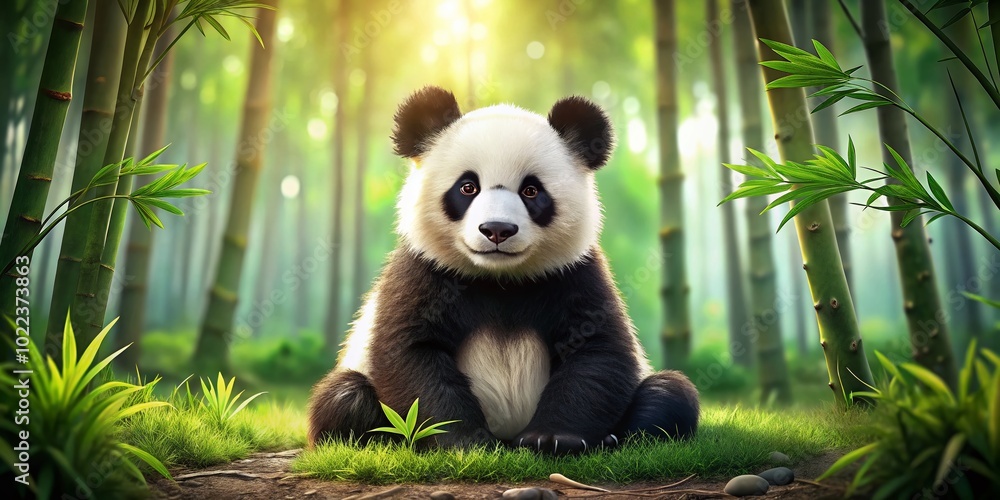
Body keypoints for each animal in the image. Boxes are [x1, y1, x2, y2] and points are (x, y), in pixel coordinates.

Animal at [307, 86, 699, 455]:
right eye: (468, 187)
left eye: (531, 190)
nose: (497, 229)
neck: (499, 278)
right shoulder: (423, 271)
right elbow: (410, 353)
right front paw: (464, 441)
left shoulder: (575, 273)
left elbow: (598, 351)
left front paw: (552, 438)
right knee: (344, 399)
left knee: (669, 396)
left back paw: (614, 438)